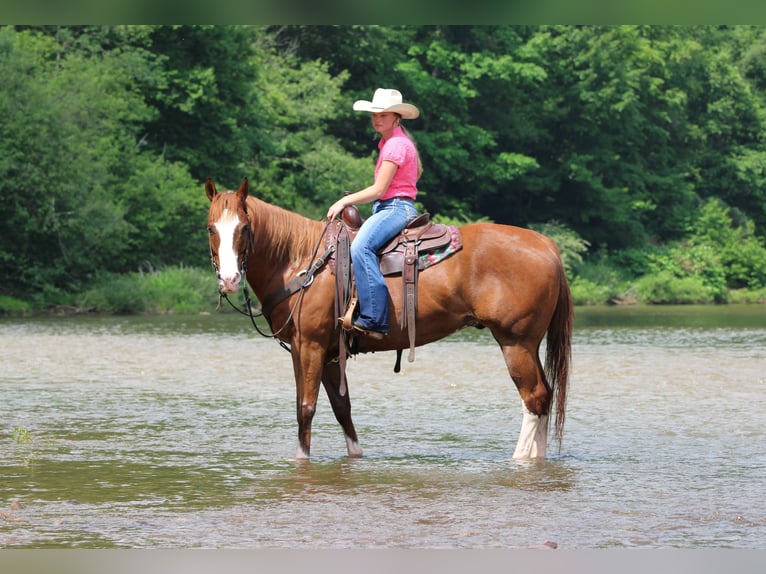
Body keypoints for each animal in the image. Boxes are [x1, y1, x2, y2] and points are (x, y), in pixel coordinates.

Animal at [205, 177, 573, 460]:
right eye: (211, 228)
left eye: (244, 228)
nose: (230, 280)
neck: (302, 261)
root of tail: (547, 246)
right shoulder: (325, 352)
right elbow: (342, 409)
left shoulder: (309, 345)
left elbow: (306, 407)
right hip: (529, 344)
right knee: (546, 395)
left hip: (515, 342)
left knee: (534, 398)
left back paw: (520, 459)